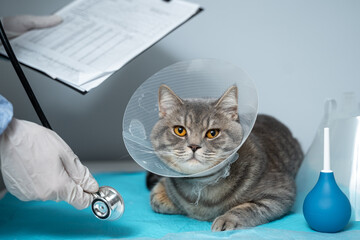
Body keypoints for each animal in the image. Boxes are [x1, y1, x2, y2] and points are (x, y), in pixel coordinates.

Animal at [149, 84, 304, 231]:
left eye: (212, 133)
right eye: (179, 130)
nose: (194, 146)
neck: (202, 185)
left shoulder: (281, 193)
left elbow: (248, 207)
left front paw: (227, 219)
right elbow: (157, 198)